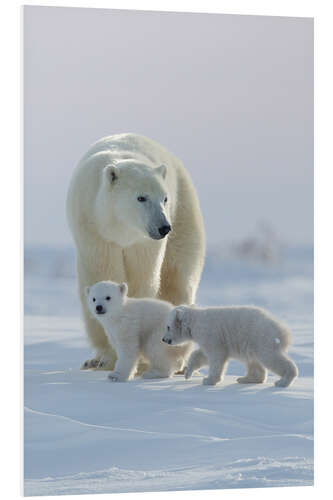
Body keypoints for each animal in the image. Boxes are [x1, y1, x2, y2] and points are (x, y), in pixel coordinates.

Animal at [65, 135, 205, 370]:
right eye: (141, 197)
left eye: (164, 198)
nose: (164, 227)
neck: (120, 229)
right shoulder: (94, 229)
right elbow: (102, 273)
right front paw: (107, 357)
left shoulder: (142, 243)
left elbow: (143, 280)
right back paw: (92, 361)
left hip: (184, 210)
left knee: (177, 279)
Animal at [162, 304, 296, 386]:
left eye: (168, 327)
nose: (163, 339)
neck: (195, 321)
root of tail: (283, 331)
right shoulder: (206, 339)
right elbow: (201, 354)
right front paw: (187, 373)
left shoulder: (210, 334)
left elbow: (216, 356)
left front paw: (209, 380)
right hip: (252, 342)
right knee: (253, 361)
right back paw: (246, 379)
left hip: (261, 338)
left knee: (270, 357)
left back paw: (283, 381)